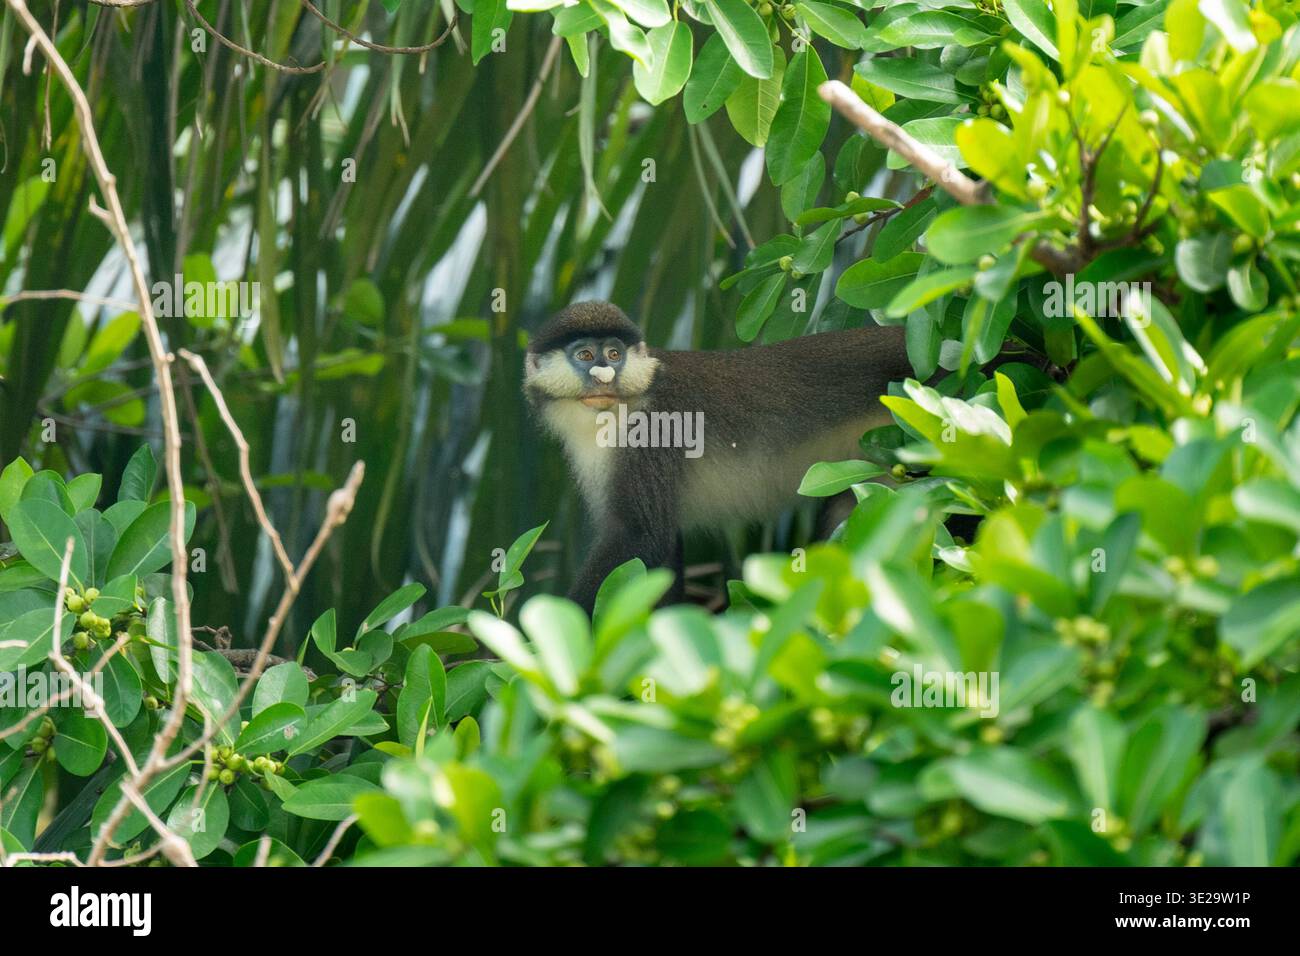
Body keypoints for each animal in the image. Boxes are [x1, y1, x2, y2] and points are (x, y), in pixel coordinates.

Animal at [523, 301, 914, 613]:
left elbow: (640, 535)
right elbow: (661, 552)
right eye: (586, 356)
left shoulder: (652, 434)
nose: (604, 375)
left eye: (614, 354)